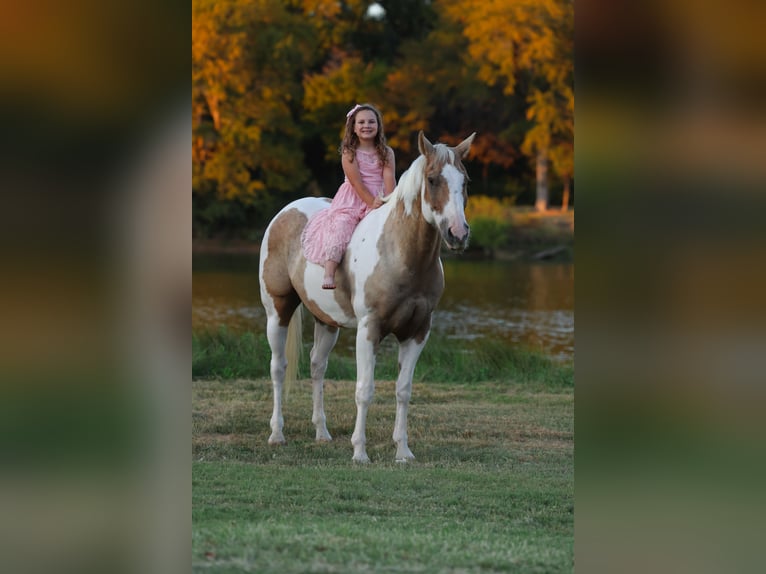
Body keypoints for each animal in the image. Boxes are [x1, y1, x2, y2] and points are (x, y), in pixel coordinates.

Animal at [258, 130, 475, 462]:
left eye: (465, 181)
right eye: (432, 179)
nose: (458, 234)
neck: (399, 253)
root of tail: (285, 212)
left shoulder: (417, 332)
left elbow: (403, 390)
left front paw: (403, 451)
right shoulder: (369, 329)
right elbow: (364, 390)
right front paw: (359, 452)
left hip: (327, 322)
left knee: (317, 366)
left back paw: (322, 433)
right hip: (278, 311)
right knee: (278, 368)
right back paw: (276, 434)